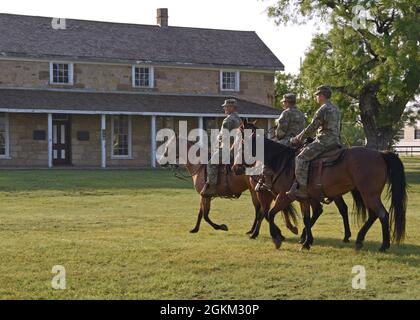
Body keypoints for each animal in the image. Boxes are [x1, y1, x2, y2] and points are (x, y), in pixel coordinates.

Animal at [158, 134, 298, 236]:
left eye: (168, 146)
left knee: (261, 210)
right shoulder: (204, 195)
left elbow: (206, 215)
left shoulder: (205, 195)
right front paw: (195, 229)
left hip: (257, 191)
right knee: (268, 209)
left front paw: (221, 227)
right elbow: (201, 213)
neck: (199, 164)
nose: (161, 161)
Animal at [233, 121, 406, 251]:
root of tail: (380, 154)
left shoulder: (284, 196)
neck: (282, 161)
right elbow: (305, 218)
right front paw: (306, 241)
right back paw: (358, 239)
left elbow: (270, 213)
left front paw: (278, 238)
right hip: (364, 194)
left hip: (369, 194)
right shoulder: (303, 198)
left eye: (240, 144)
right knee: (372, 214)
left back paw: (383, 245)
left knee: (382, 214)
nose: (236, 168)